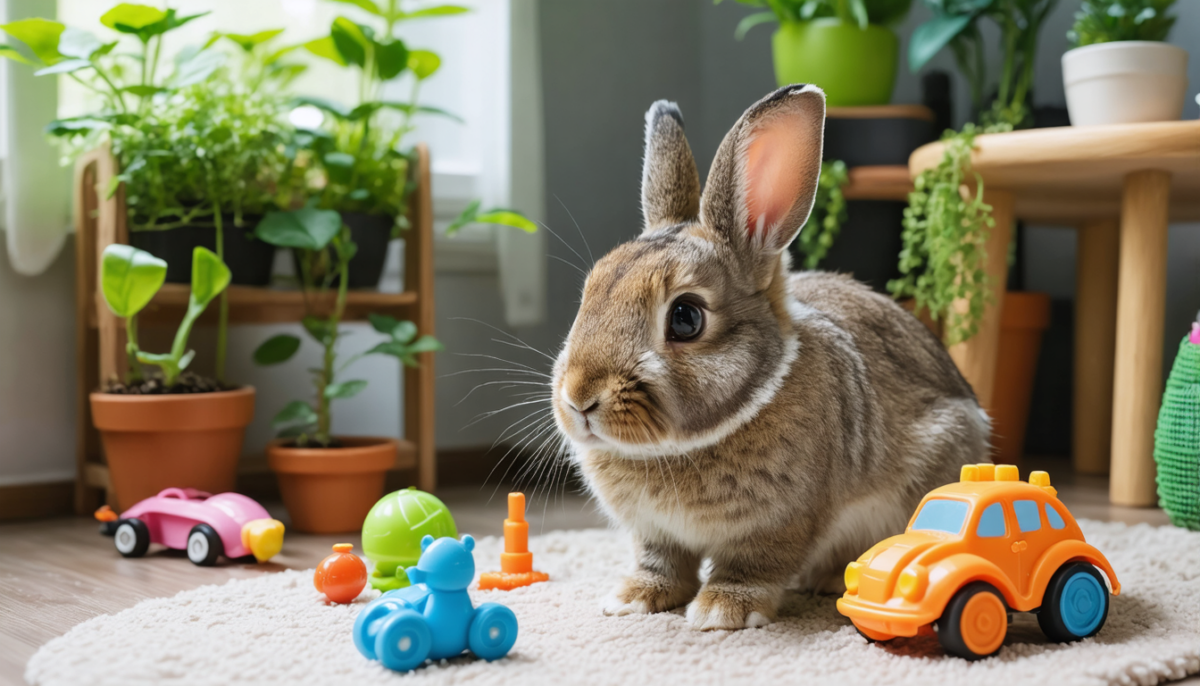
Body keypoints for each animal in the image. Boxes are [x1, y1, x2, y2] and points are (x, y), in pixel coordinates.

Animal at [548, 84, 991, 631]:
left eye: (686, 318)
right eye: (588, 294)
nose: (579, 398)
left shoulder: (780, 523)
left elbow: (752, 566)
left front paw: (721, 610)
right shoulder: (656, 534)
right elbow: (662, 564)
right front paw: (634, 598)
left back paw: (830, 579)